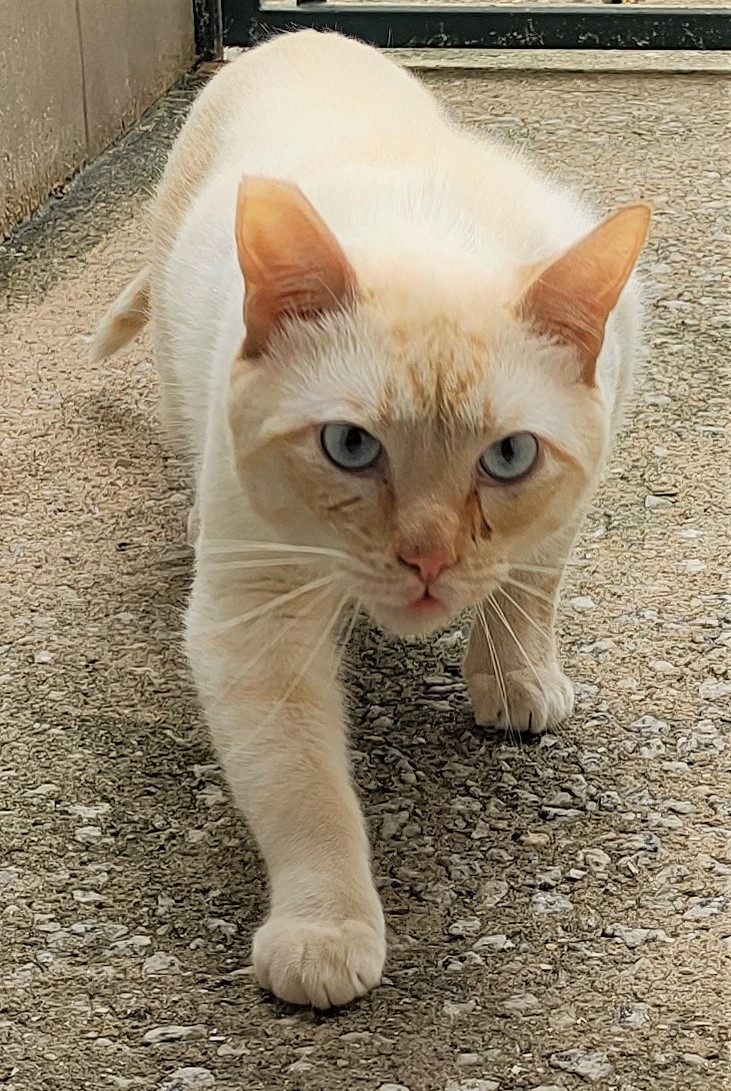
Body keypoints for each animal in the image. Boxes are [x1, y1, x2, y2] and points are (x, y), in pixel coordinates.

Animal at [90, 29, 654, 1008]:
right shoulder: (255, 616)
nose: (426, 558)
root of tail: (298, 33)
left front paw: (514, 675)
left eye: (510, 456)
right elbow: (302, 785)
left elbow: (531, 583)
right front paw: (324, 929)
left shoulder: (583, 463)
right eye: (350, 445)